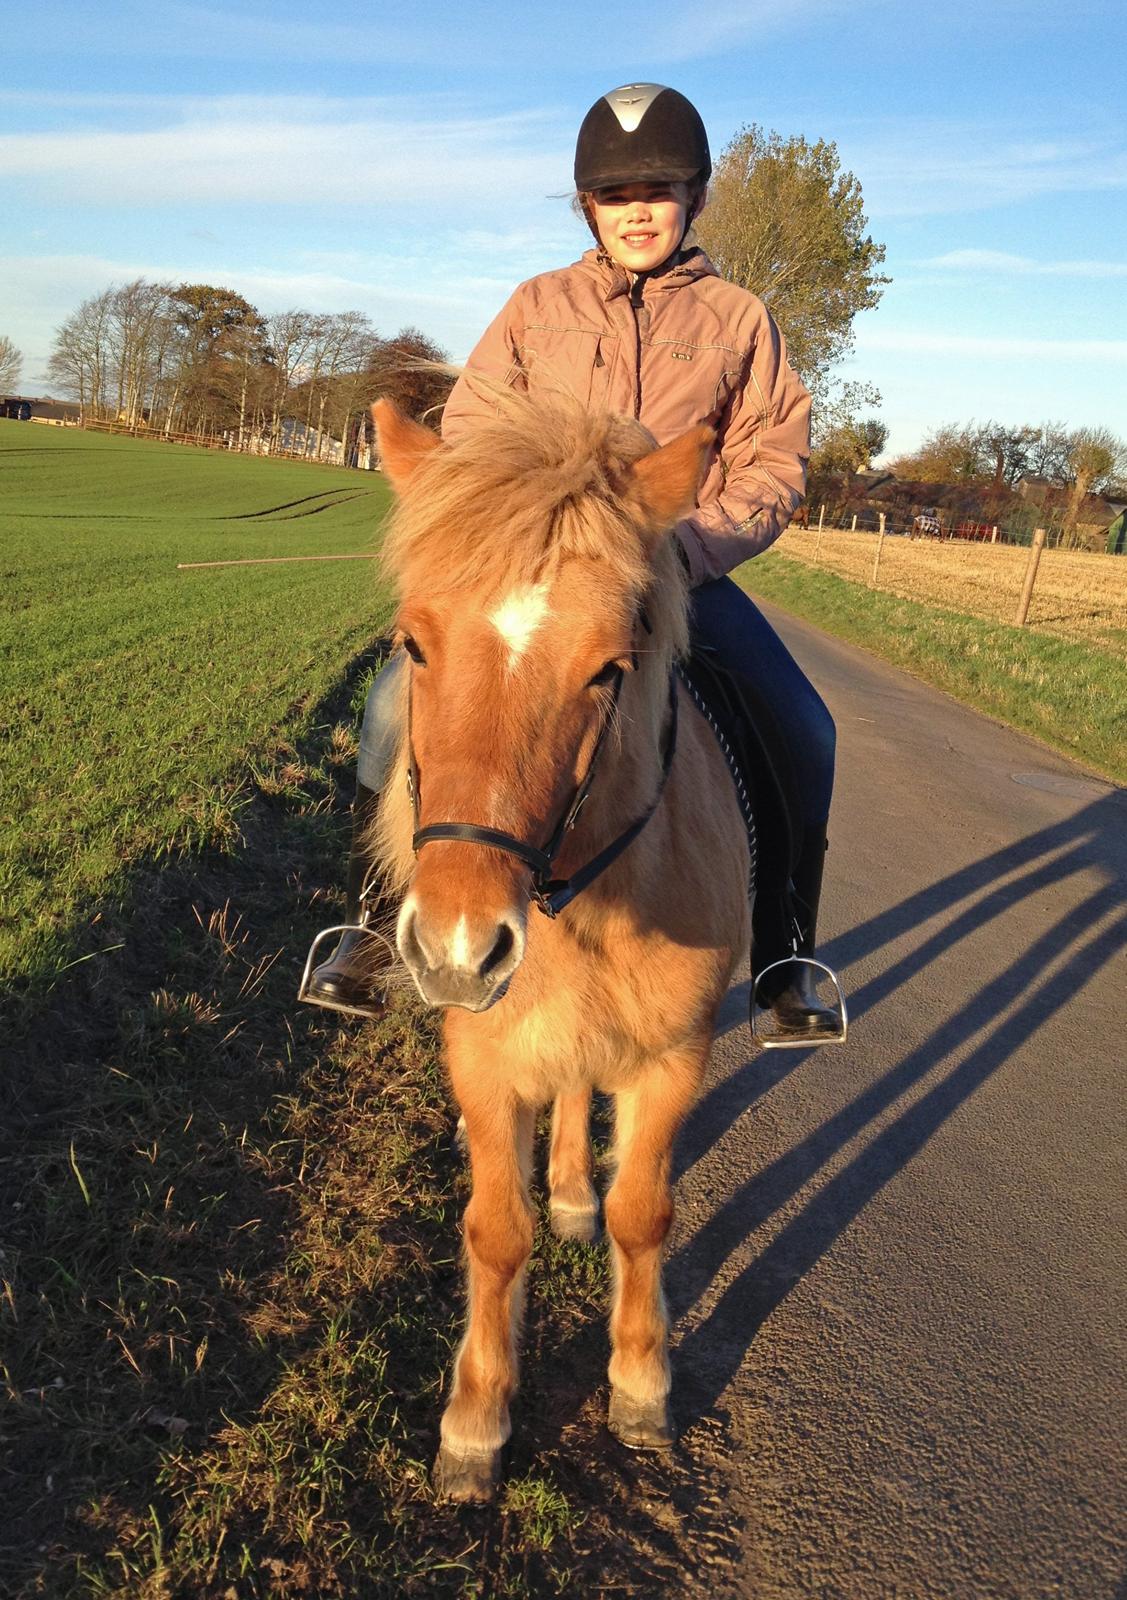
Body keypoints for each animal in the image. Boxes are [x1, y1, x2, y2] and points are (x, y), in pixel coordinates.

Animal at [374, 384, 752, 1497]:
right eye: (414, 645)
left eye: (606, 672)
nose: (458, 949)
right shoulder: (481, 1055)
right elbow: (496, 1230)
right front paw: (474, 1421)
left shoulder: (673, 1057)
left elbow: (643, 1213)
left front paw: (639, 1382)